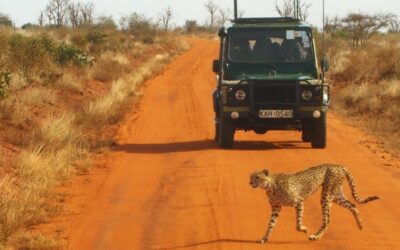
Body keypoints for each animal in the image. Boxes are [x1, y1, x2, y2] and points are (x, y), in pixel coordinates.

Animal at [248, 163, 380, 243]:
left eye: (257, 177)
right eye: (251, 177)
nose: (250, 182)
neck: (269, 186)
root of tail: (338, 165)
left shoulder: (299, 202)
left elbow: (297, 223)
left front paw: (304, 229)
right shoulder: (276, 208)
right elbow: (271, 224)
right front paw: (264, 238)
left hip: (326, 195)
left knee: (327, 220)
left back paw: (315, 236)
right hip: (336, 195)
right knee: (353, 205)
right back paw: (360, 225)